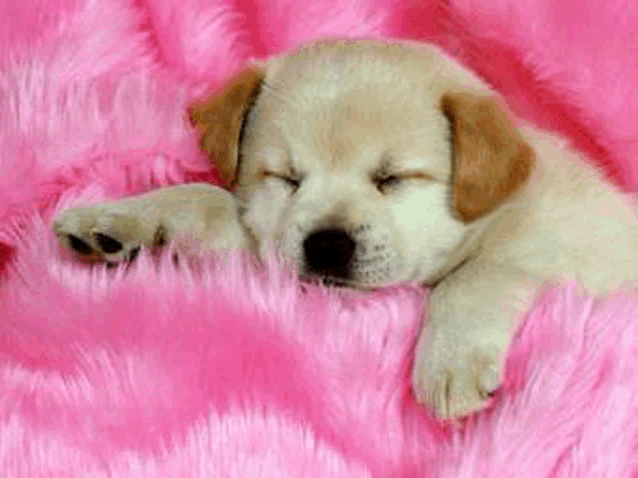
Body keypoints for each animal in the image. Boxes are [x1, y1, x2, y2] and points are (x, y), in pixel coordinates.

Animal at [52, 42, 636, 422]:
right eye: (286, 177)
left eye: (392, 178)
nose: (327, 244)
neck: (490, 214)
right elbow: (203, 197)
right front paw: (113, 220)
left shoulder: (568, 247)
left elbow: (476, 277)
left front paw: (449, 363)